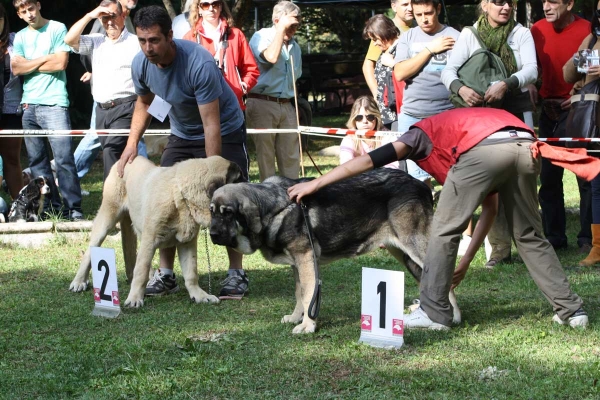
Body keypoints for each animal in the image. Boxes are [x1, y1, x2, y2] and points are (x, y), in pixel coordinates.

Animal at [209, 169, 462, 334]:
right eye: (211, 211)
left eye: (228, 213)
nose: (212, 234)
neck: (274, 208)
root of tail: (421, 185)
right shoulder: (297, 264)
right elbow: (300, 293)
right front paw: (296, 317)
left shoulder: (306, 259)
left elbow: (309, 294)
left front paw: (308, 326)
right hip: (401, 251)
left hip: (416, 245)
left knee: (444, 278)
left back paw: (449, 319)